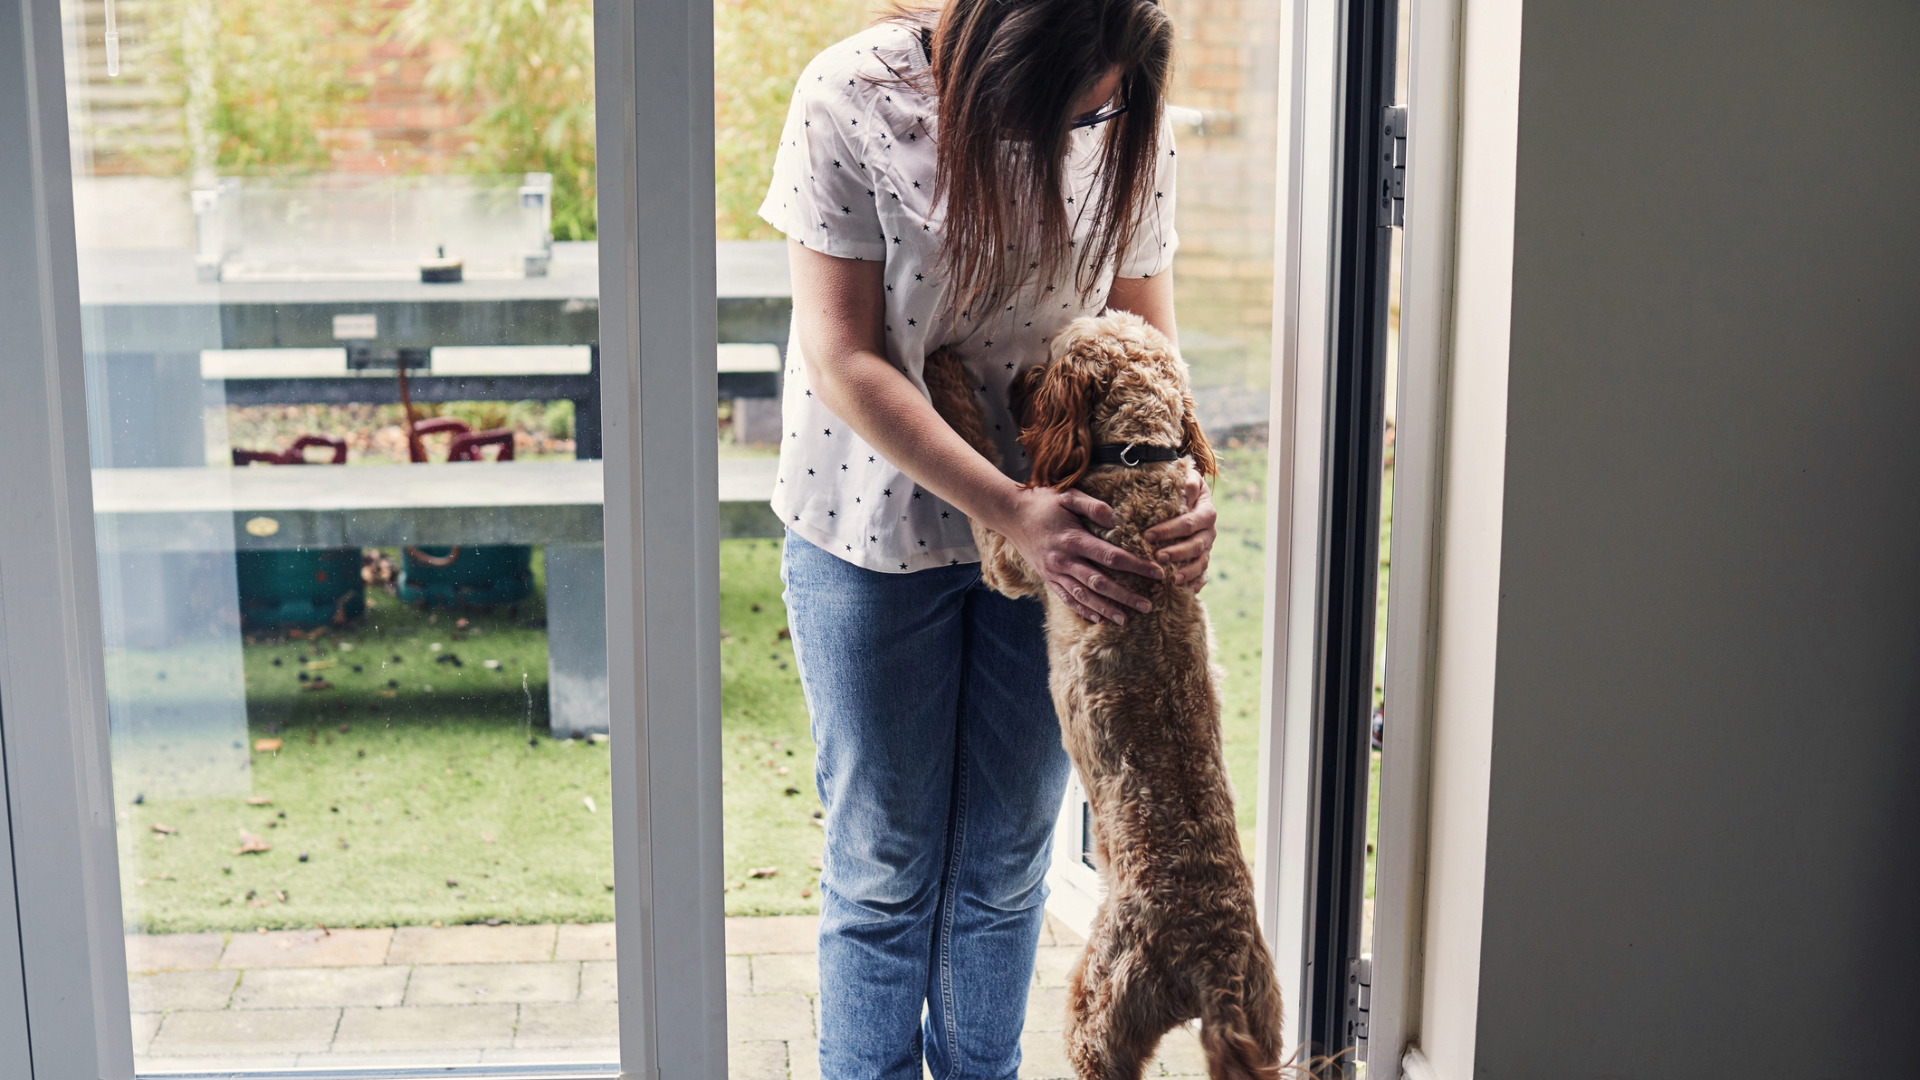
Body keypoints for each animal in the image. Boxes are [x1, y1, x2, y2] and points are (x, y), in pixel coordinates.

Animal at [925, 311, 1290, 1076]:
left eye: (1053, 352)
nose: (1019, 376)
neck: (1138, 457)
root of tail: (1210, 956)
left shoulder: (1017, 553)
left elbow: (977, 449)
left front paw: (944, 375)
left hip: (1101, 1011)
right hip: (1267, 1015)